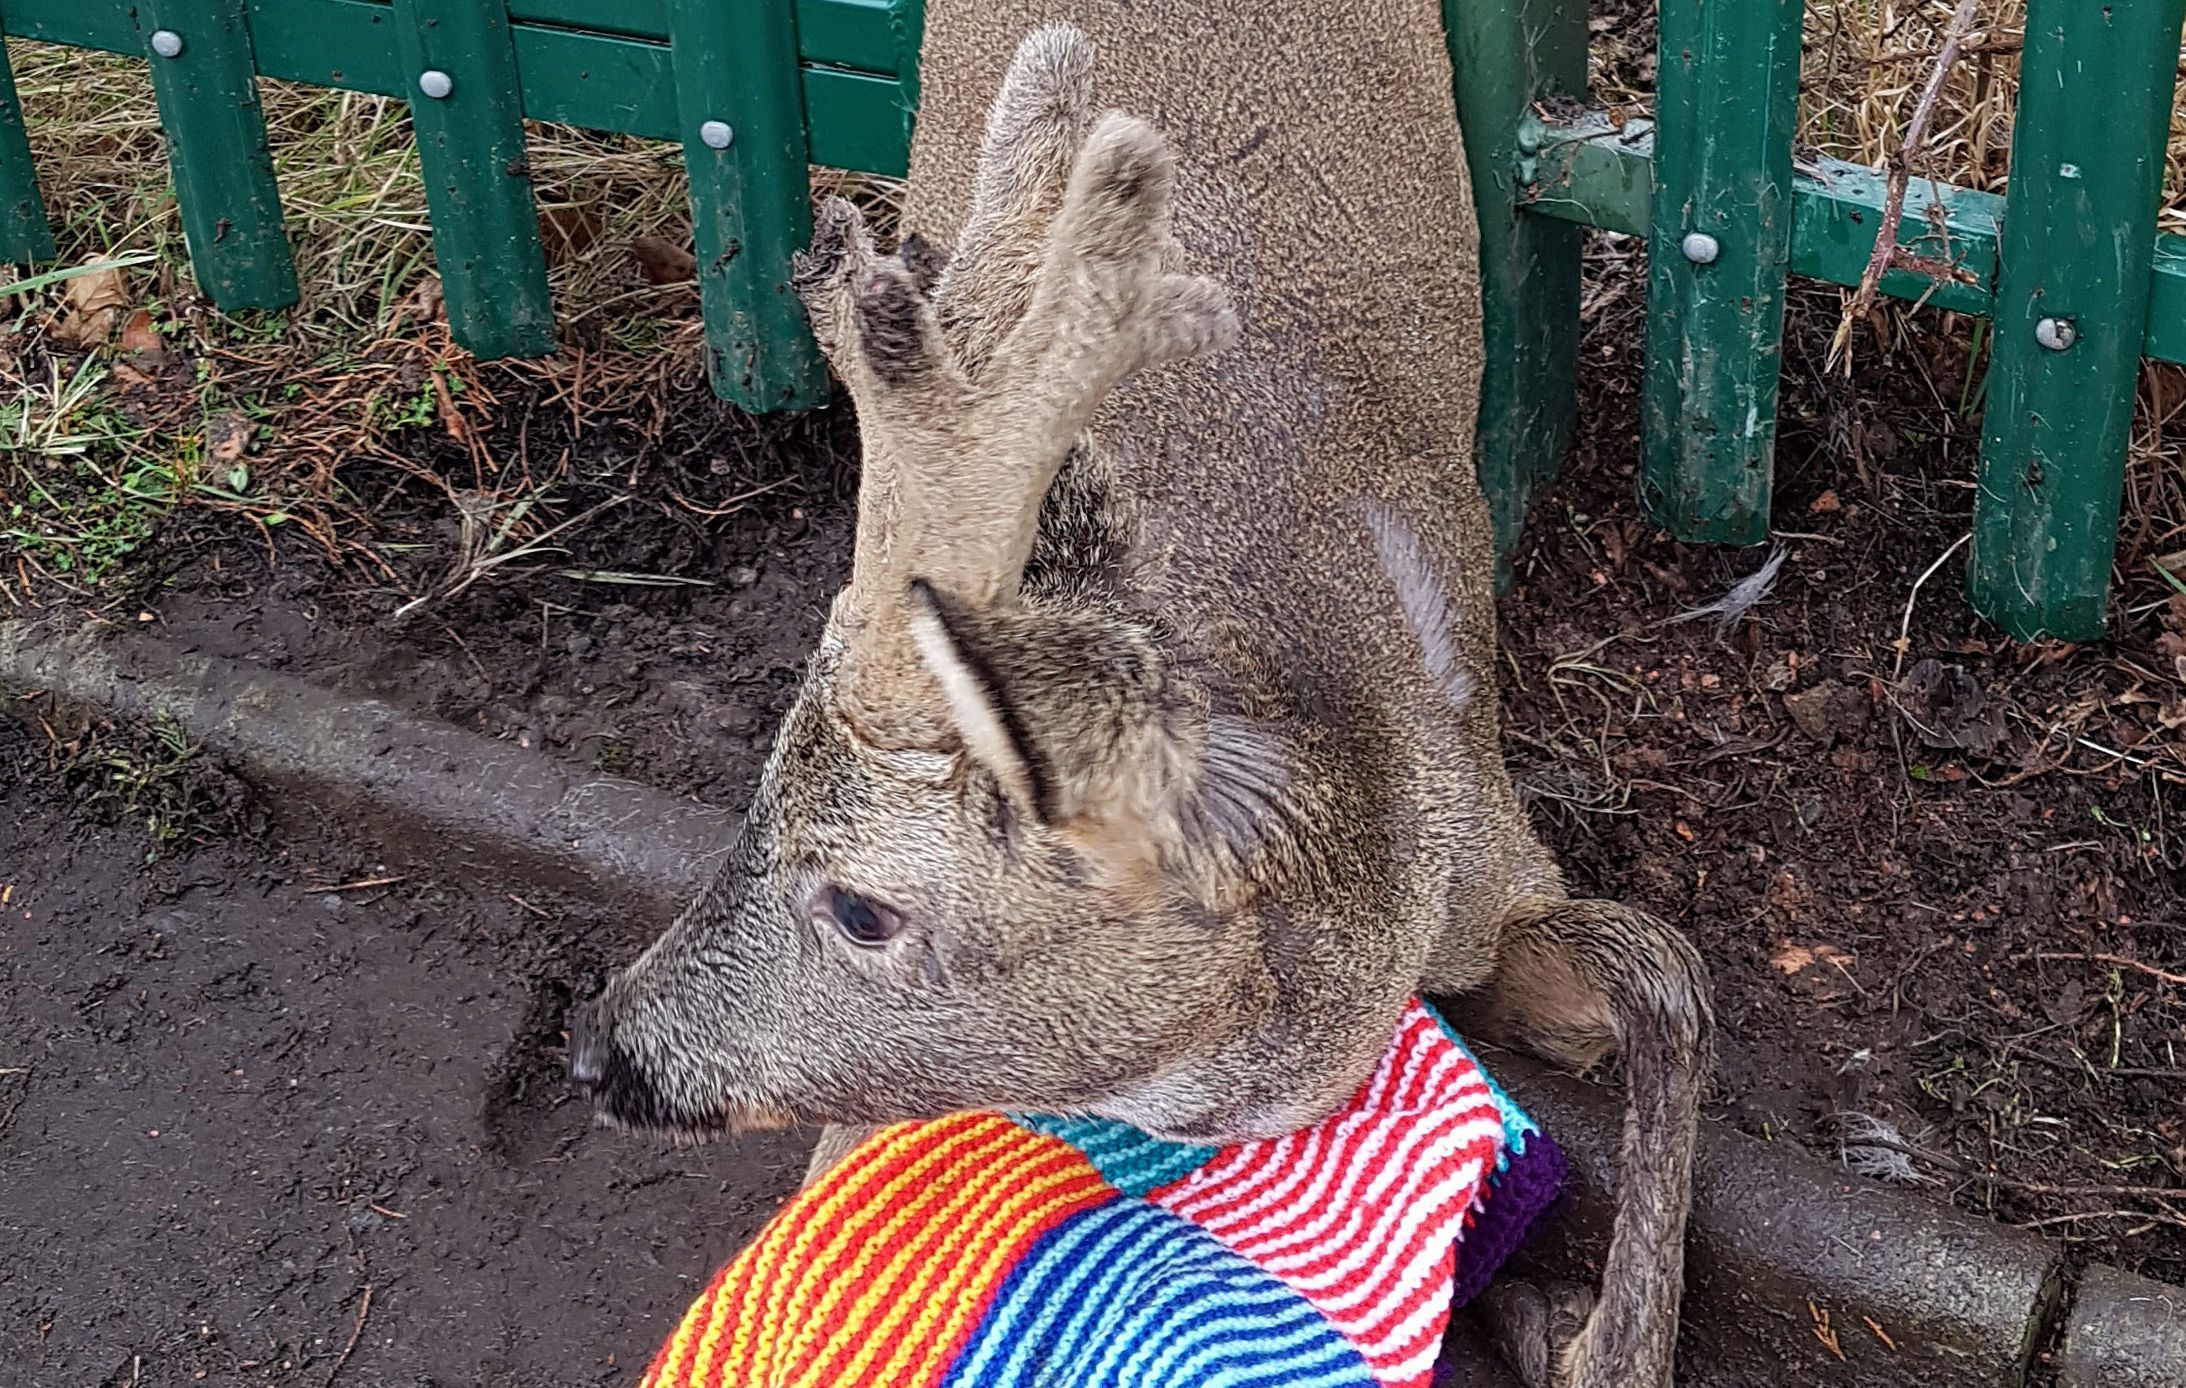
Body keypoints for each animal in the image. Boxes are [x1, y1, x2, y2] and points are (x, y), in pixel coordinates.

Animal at [572, 5, 1713, 1381]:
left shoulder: (1492, 858)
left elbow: (1661, 982)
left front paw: (1574, 1328)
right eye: (757, 792)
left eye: (861, 907)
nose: (603, 1046)